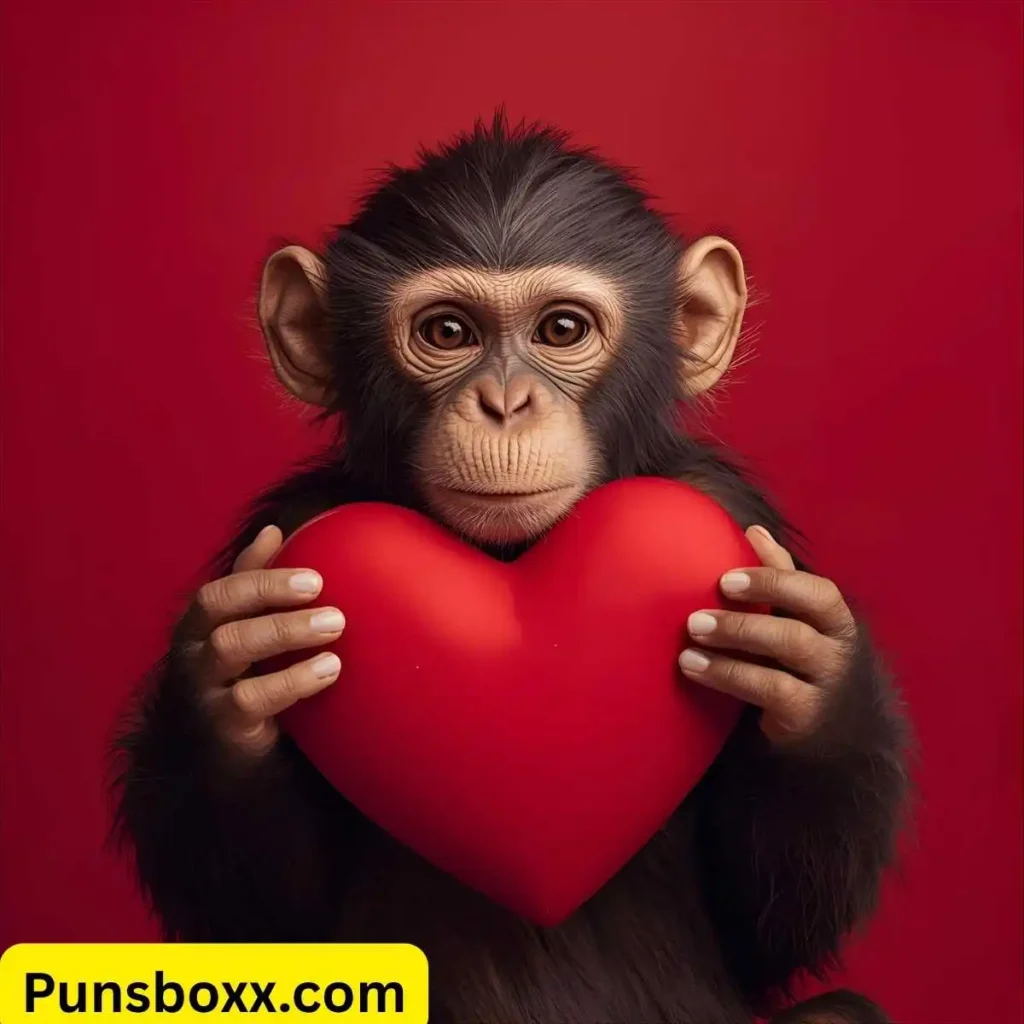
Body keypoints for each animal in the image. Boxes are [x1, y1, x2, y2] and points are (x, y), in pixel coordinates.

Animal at [111, 113, 911, 1024]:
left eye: (560, 331)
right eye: (448, 333)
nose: (504, 403)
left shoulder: (732, 512)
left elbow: (772, 929)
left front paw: (814, 678)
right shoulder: (292, 526)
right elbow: (263, 929)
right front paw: (228, 683)